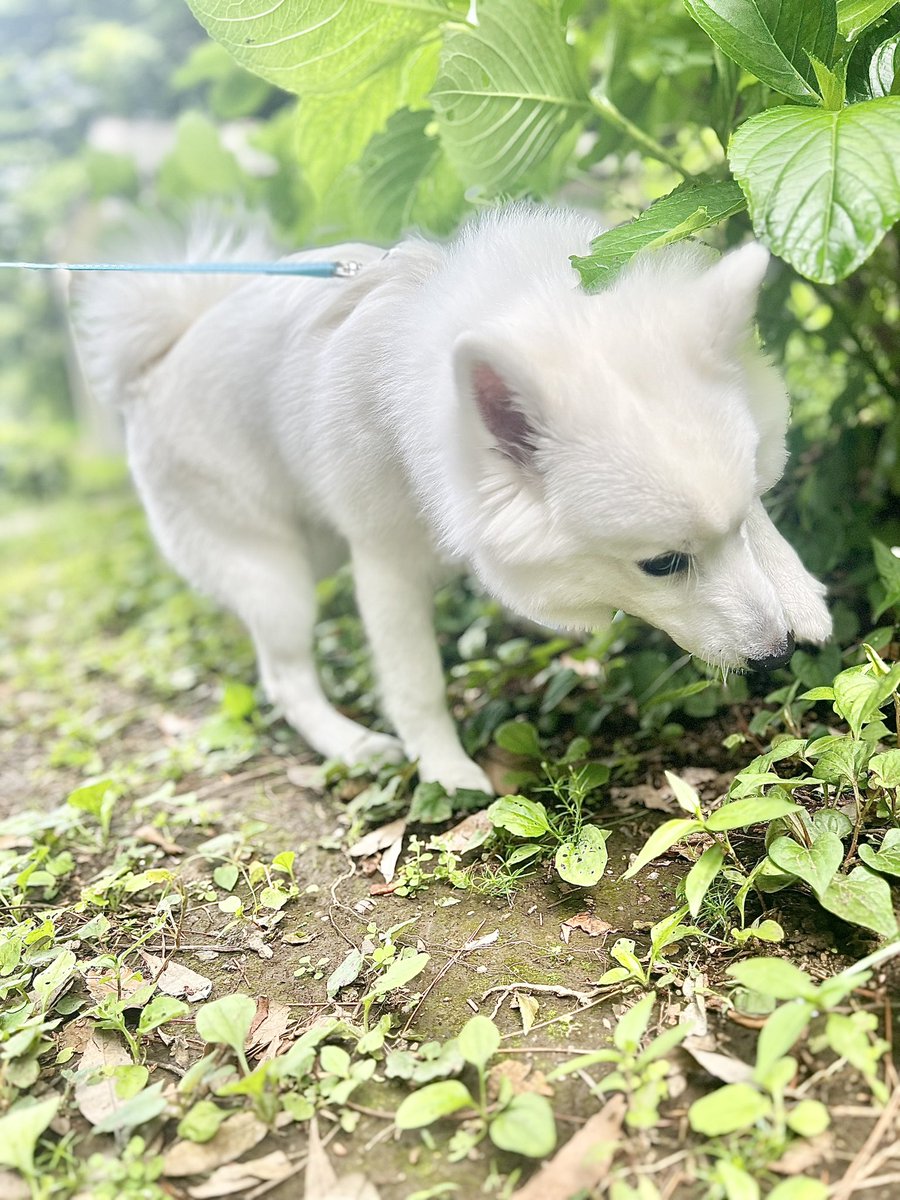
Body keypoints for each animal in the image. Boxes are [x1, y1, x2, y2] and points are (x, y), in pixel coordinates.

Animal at [74, 204, 835, 796]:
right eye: (661, 565)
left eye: (737, 527)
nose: (774, 657)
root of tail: (153, 365)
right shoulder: (384, 565)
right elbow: (416, 684)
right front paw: (444, 770)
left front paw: (799, 592)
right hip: (274, 577)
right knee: (286, 678)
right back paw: (352, 744)